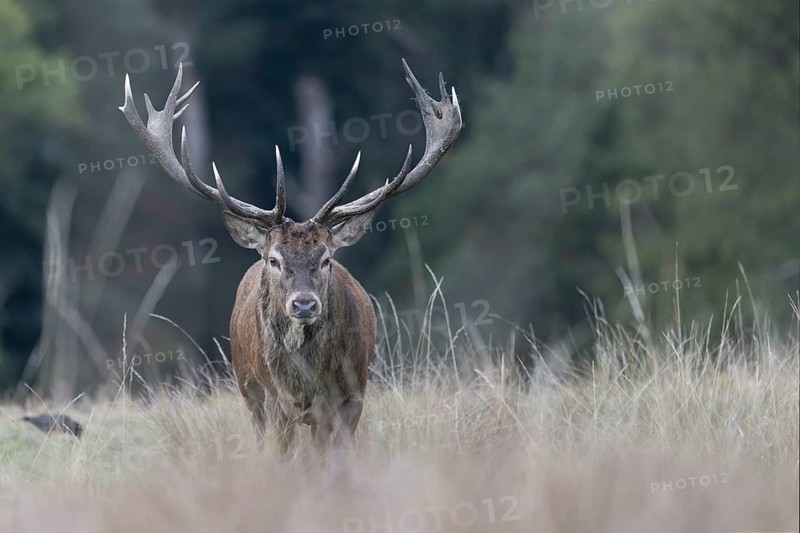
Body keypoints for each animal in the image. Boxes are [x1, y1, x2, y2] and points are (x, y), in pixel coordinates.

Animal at [119, 60, 462, 453]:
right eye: (274, 259)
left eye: (326, 259)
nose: (304, 304)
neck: (307, 382)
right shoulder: (275, 399)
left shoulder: (353, 395)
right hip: (248, 391)